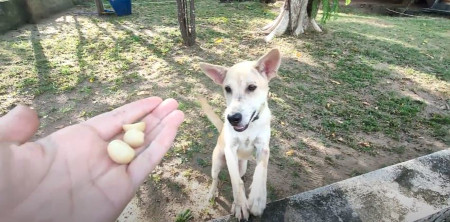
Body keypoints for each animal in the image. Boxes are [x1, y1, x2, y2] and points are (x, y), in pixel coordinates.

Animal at [198, 49, 280, 220]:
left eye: (252, 87)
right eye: (227, 89)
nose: (232, 118)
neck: (249, 127)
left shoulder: (263, 148)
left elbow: (261, 171)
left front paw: (257, 199)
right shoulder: (230, 149)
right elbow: (236, 182)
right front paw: (241, 205)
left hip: (242, 165)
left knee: (238, 175)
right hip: (217, 163)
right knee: (217, 179)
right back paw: (214, 194)